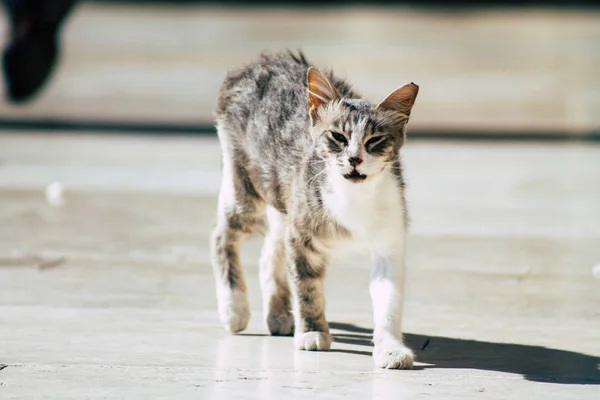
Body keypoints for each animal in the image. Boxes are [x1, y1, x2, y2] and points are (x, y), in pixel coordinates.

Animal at [213, 50, 420, 368]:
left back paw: (277, 313)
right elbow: (307, 288)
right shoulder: (301, 236)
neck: (353, 198)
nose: (355, 159)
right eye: (338, 137)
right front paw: (312, 332)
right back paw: (234, 308)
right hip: (248, 190)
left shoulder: (390, 242)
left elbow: (389, 301)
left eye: (374, 141)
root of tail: (259, 62)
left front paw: (391, 347)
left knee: (269, 251)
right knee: (222, 236)